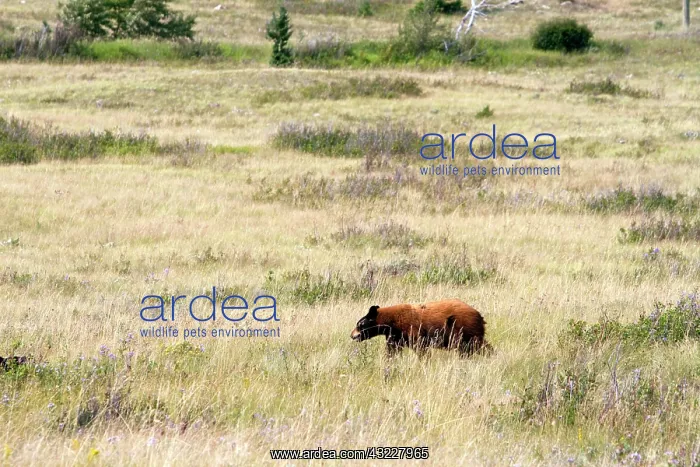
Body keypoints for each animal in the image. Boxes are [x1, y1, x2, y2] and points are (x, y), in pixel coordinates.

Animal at [350, 299, 489, 357]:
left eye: (359, 324)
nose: (351, 335)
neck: (392, 322)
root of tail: (479, 315)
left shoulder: (412, 330)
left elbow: (421, 348)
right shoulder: (395, 336)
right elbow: (391, 350)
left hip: (466, 330)